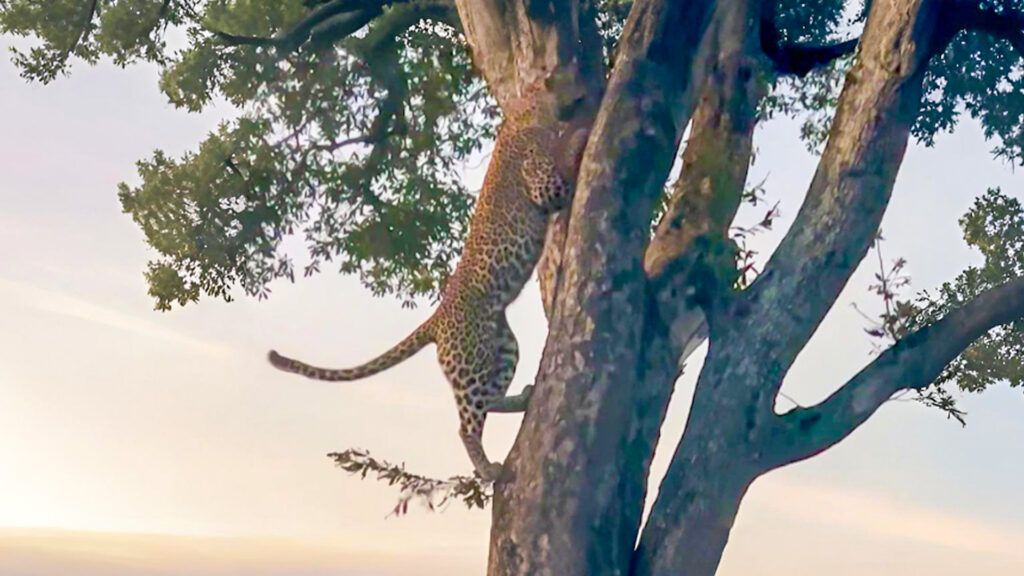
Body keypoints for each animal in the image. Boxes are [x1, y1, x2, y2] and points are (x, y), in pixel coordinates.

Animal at [268, 74, 592, 482]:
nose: (583, 92)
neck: (528, 109)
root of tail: (436, 320)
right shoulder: (542, 182)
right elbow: (558, 174)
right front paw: (580, 133)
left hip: (502, 345)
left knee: (491, 397)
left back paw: (522, 397)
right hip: (472, 359)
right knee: (467, 423)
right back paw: (488, 468)